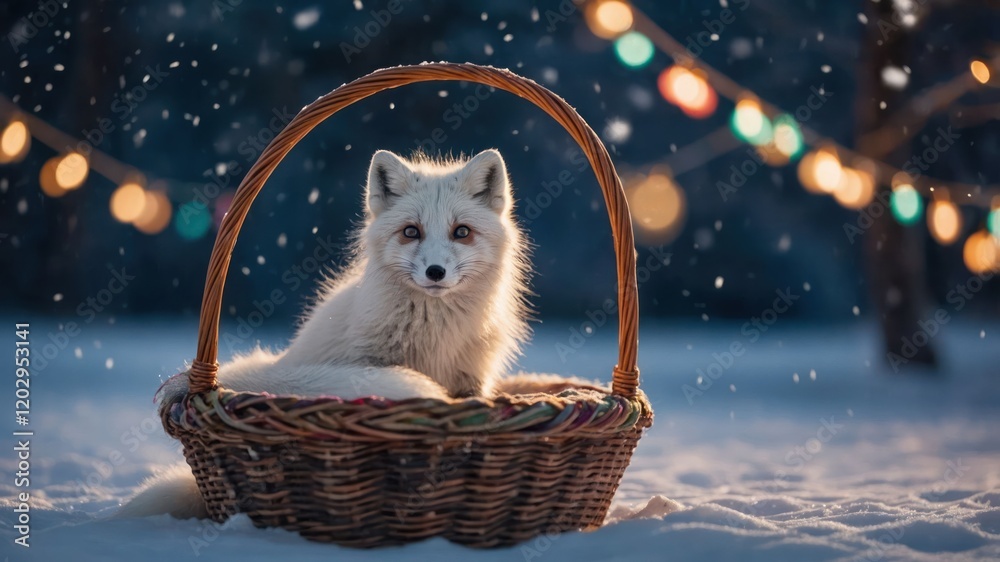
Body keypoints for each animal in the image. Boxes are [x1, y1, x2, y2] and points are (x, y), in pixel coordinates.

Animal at [118, 149, 600, 520]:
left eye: (461, 232)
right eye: (411, 232)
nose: (435, 272)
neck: (434, 336)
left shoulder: (474, 384)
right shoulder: (371, 366)